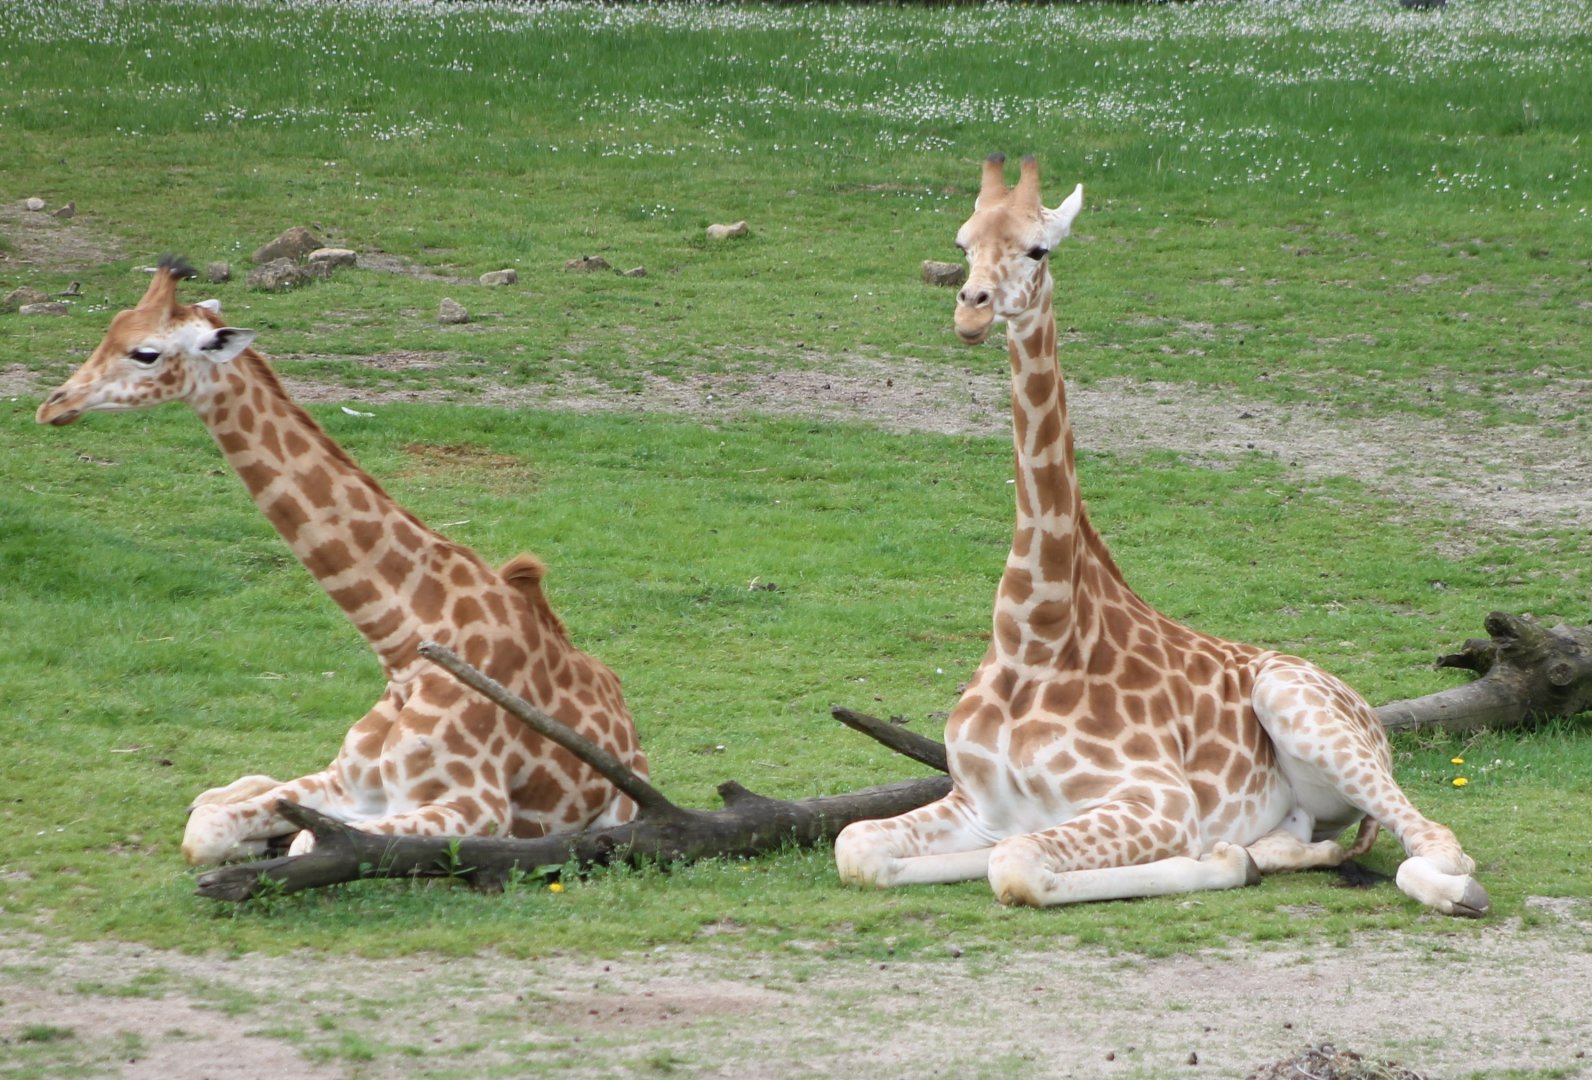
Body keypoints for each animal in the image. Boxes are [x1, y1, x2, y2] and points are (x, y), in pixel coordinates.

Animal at [36, 258, 648, 866]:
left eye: (146, 353)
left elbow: (306, 839)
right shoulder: (345, 782)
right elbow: (208, 830)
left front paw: (282, 841)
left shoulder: (476, 806)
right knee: (224, 793)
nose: (53, 404)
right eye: (111, 330)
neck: (403, 652)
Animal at [834, 156, 1488, 916]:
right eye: (963, 243)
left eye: (1039, 249)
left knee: (1438, 846)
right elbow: (858, 845)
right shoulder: (981, 804)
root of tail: (1373, 718)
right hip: (1307, 802)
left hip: (1298, 707)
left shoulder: (1160, 799)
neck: (1033, 637)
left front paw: (1217, 859)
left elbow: (1016, 866)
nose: (971, 307)